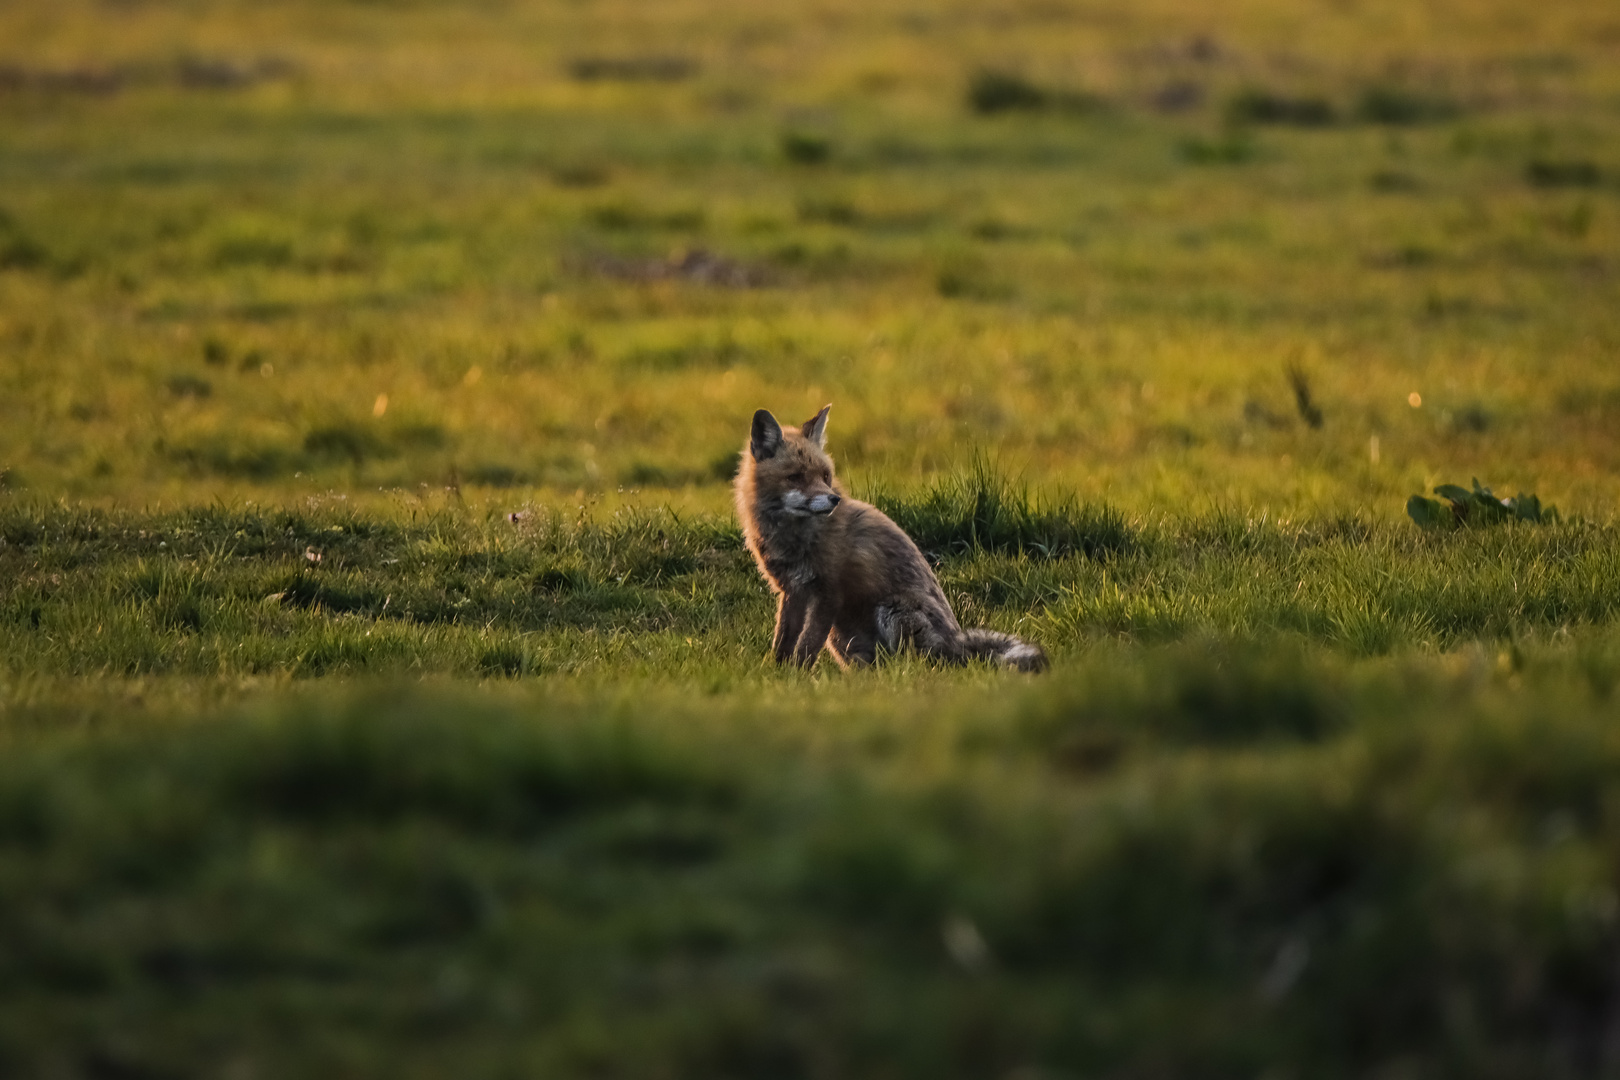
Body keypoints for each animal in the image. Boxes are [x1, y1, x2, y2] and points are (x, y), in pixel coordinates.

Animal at [738, 404, 1049, 676]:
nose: (834, 499)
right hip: (841, 638)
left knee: (916, 665)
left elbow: (806, 646)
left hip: (893, 611)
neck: (795, 537)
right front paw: (777, 674)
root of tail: (958, 646)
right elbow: (783, 641)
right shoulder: (792, 591)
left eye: (825, 476)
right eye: (796, 477)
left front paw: (796, 677)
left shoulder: (828, 592)